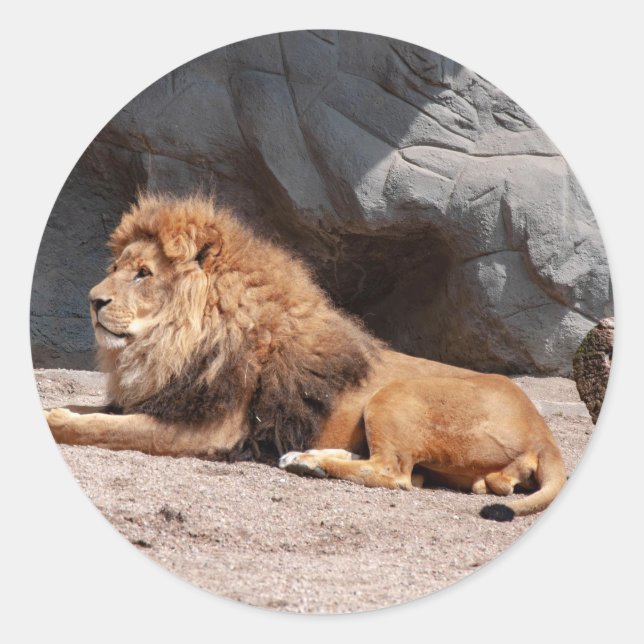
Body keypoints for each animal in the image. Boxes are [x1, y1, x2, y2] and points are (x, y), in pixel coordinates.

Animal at [45, 194, 567, 521]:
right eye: (115, 268)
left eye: (143, 274)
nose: (92, 300)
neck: (167, 345)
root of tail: (544, 432)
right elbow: (91, 411)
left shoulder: (209, 429)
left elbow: (101, 428)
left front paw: (57, 420)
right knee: (409, 472)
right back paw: (306, 458)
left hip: (398, 395)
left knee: (396, 474)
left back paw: (312, 465)